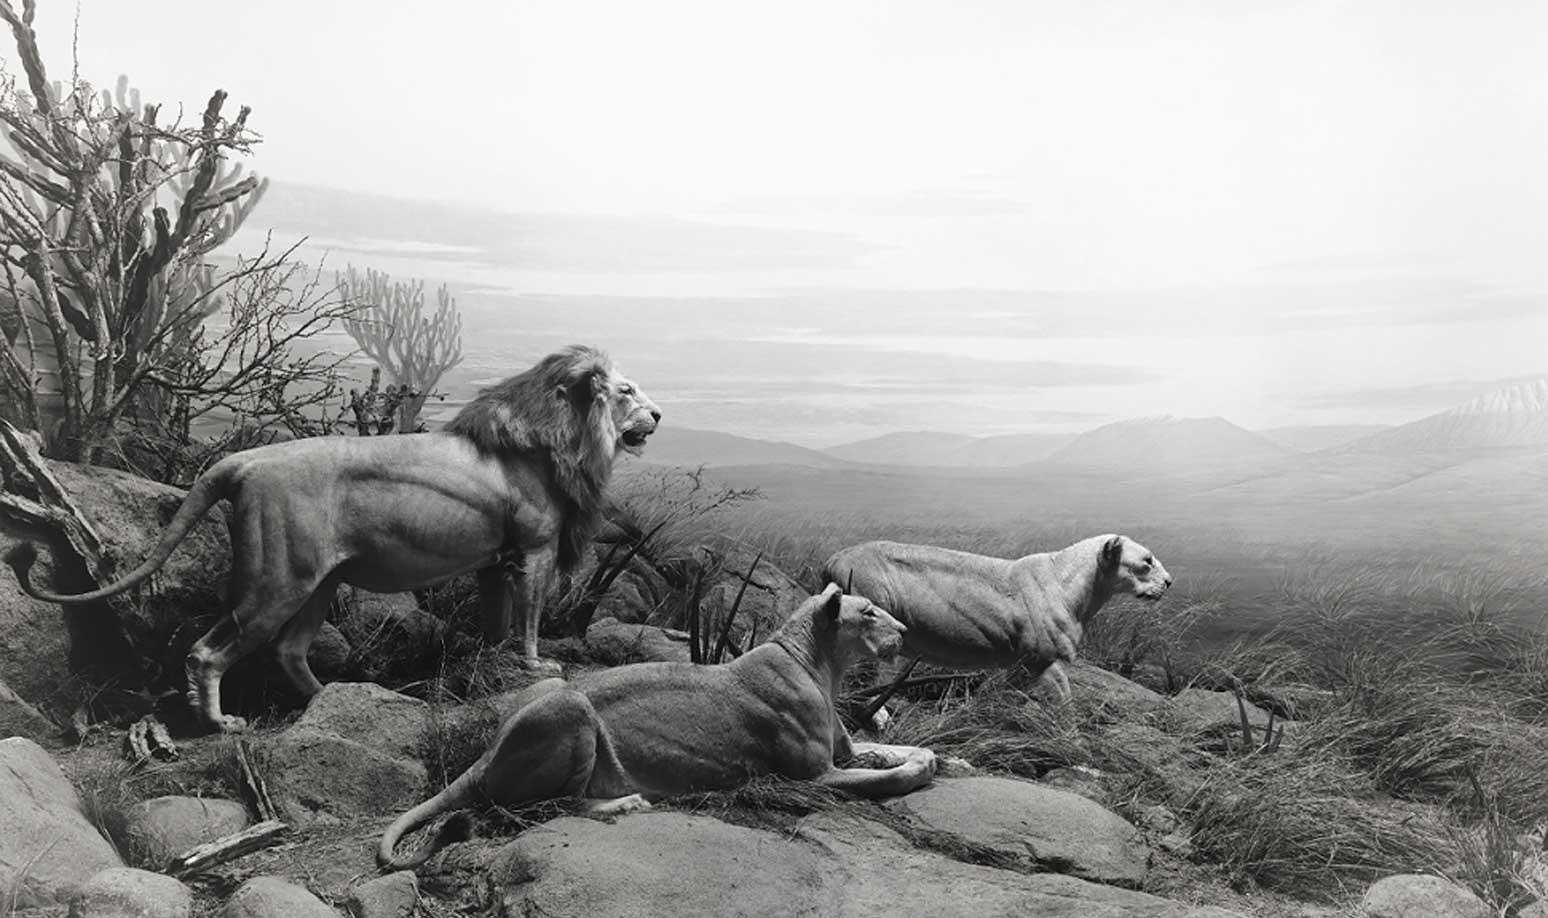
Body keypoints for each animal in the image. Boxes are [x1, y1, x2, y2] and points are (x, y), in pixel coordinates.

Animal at [6, 345, 659, 733]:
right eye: (626, 391)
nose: (657, 416)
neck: (563, 439)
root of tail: (242, 461)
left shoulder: (495, 561)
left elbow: (498, 623)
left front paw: (497, 666)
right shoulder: (533, 552)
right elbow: (528, 621)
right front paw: (536, 666)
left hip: (318, 584)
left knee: (290, 653)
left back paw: (337, 700)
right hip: (277, 583)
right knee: (206, 652)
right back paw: (221, 725)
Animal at [377, 583, 938, 870]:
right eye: (870, 612)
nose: (906, 630)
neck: (822, 666)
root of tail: (486, 753)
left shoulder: (843, 752)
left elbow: (892, 750)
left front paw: (938, 754)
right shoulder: (812, 775)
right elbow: (886, 775)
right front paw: (922, 767)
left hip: (551, 686)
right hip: (570, 708)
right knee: (539, 806)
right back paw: (624, 802)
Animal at [822, 534, 1172, 719]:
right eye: (1147, 561)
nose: (1169, 582)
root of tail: (832, 560)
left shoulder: (1027, 665)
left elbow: (1005, 693)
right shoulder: (1041, 661)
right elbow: (1061, 700)